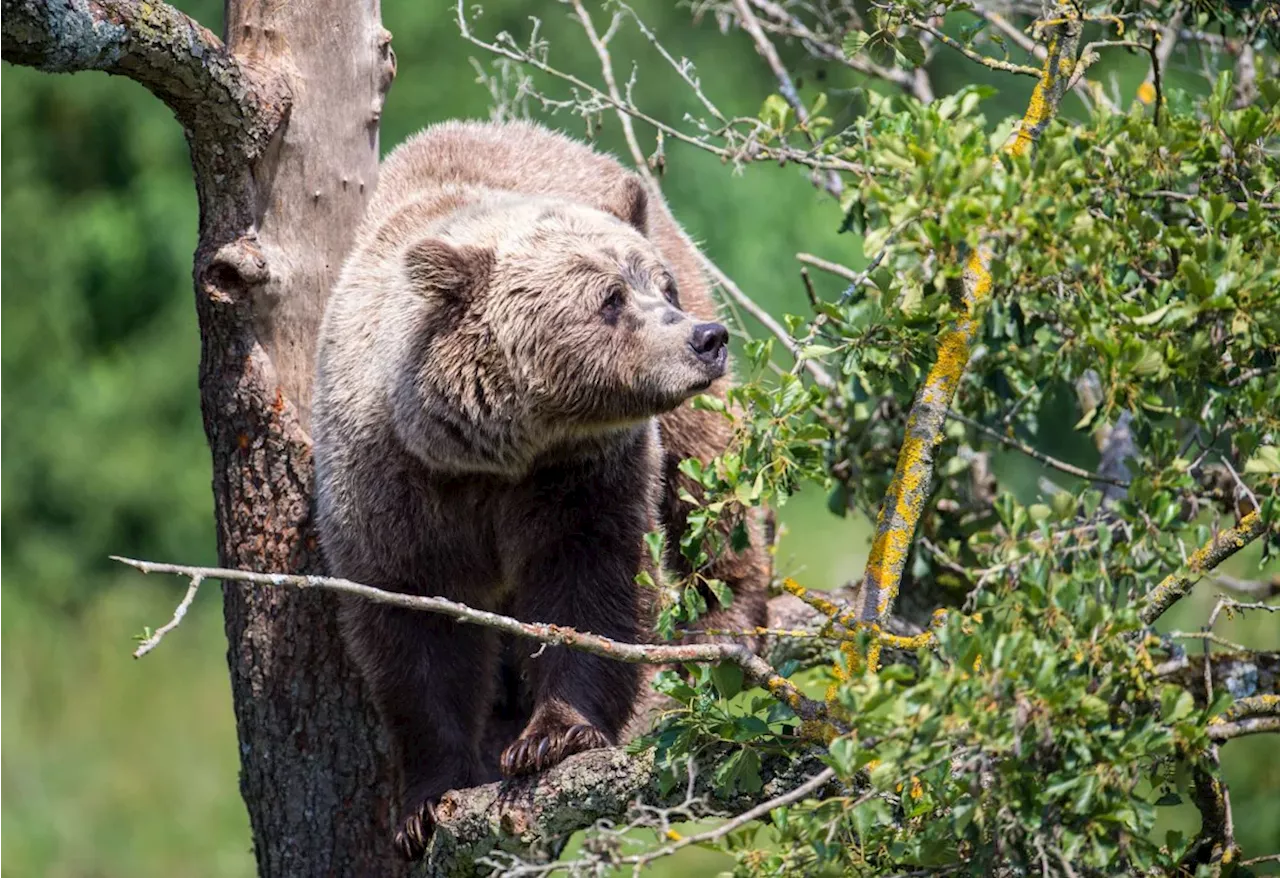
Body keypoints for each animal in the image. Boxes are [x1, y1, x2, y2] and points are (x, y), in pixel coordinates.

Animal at [313, 118, 762, 860]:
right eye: (610, 299)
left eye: (659, 287)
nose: (705, 338)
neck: (496, 450)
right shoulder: (392, 488)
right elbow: (413, 630)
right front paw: (427, 800)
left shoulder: (581, 477)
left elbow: (590, 584)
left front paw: (553, 736)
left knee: (709, 484)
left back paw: (727, 619)